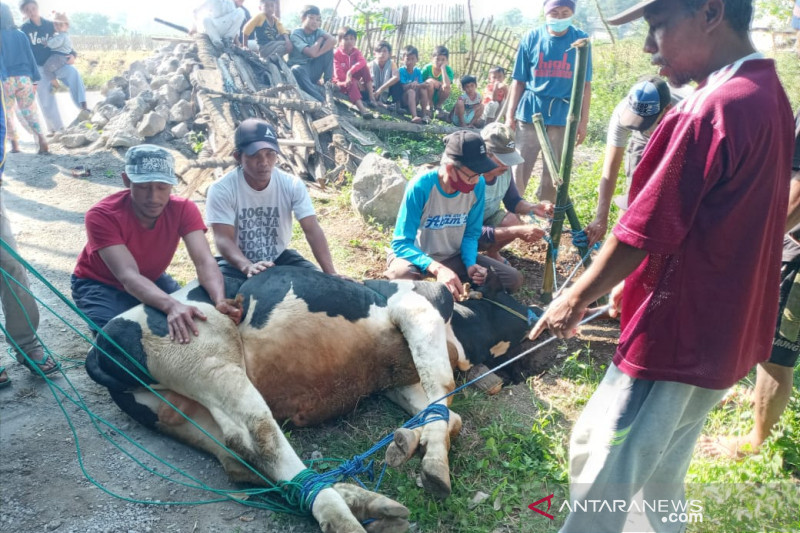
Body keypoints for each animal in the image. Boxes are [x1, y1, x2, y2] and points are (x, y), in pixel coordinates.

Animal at [87, 268, 548, 532]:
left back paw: (365, 501)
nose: (543, 318)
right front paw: (433, 466)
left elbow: (444, 414)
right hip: (211, 363)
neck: (464, 336)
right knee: (262, 439)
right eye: (509, 298)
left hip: (181, 412)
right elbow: (445, 395)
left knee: (238, 458)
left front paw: (404, 442)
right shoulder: (419, 311)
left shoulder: (392, 379)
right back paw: (342, 517)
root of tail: (98, 349)